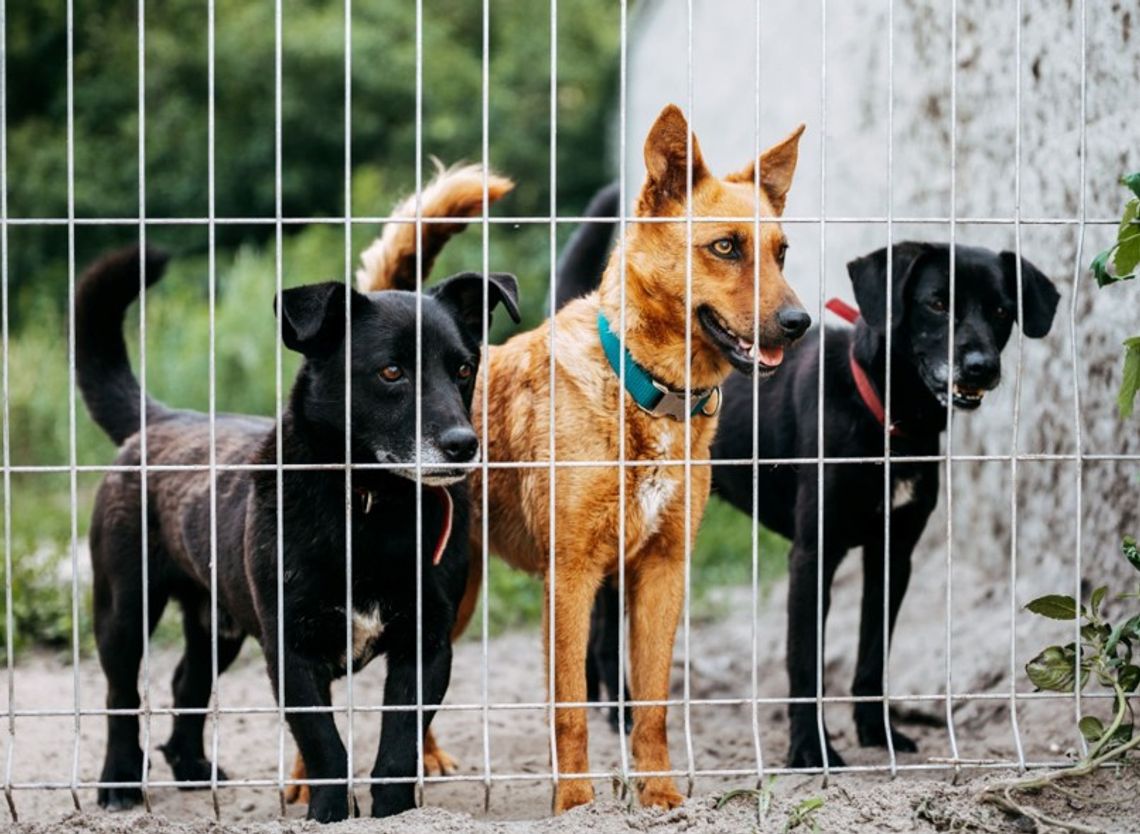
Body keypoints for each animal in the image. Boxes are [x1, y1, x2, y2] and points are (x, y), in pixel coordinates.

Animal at [80, 247, 522, 820]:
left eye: (465, 368)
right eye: (391, 372)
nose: (463, 445)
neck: (369, 505)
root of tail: (160, 420)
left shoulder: (425, 647)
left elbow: (399, 744)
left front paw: (395, 813)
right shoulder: (292, 651)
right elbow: (324, 746)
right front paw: (329, 813)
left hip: (216, 623)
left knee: (186, 682)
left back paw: (194, 768)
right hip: (123, 610)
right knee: (120, 695)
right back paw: (118, 783)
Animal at [287, 105, 802, 815]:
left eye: (781, 252)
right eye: (725, 247)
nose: (800, 322)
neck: (638, 390)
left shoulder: (662, 572)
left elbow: (652, 707)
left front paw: (662, 796)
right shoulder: (572, 578)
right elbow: (570, 709)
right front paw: (577, 802)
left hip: (453, 594)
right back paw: (303, 779)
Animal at [556, 186, 1062, 770]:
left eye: (1002, 310)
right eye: (936, 303)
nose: (980, 367)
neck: (890, 421)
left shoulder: (893, 555)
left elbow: (872, 659)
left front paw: (878, 735)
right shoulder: (812, 555)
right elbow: (804, 662)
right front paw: (809, 749)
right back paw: (619, 710)